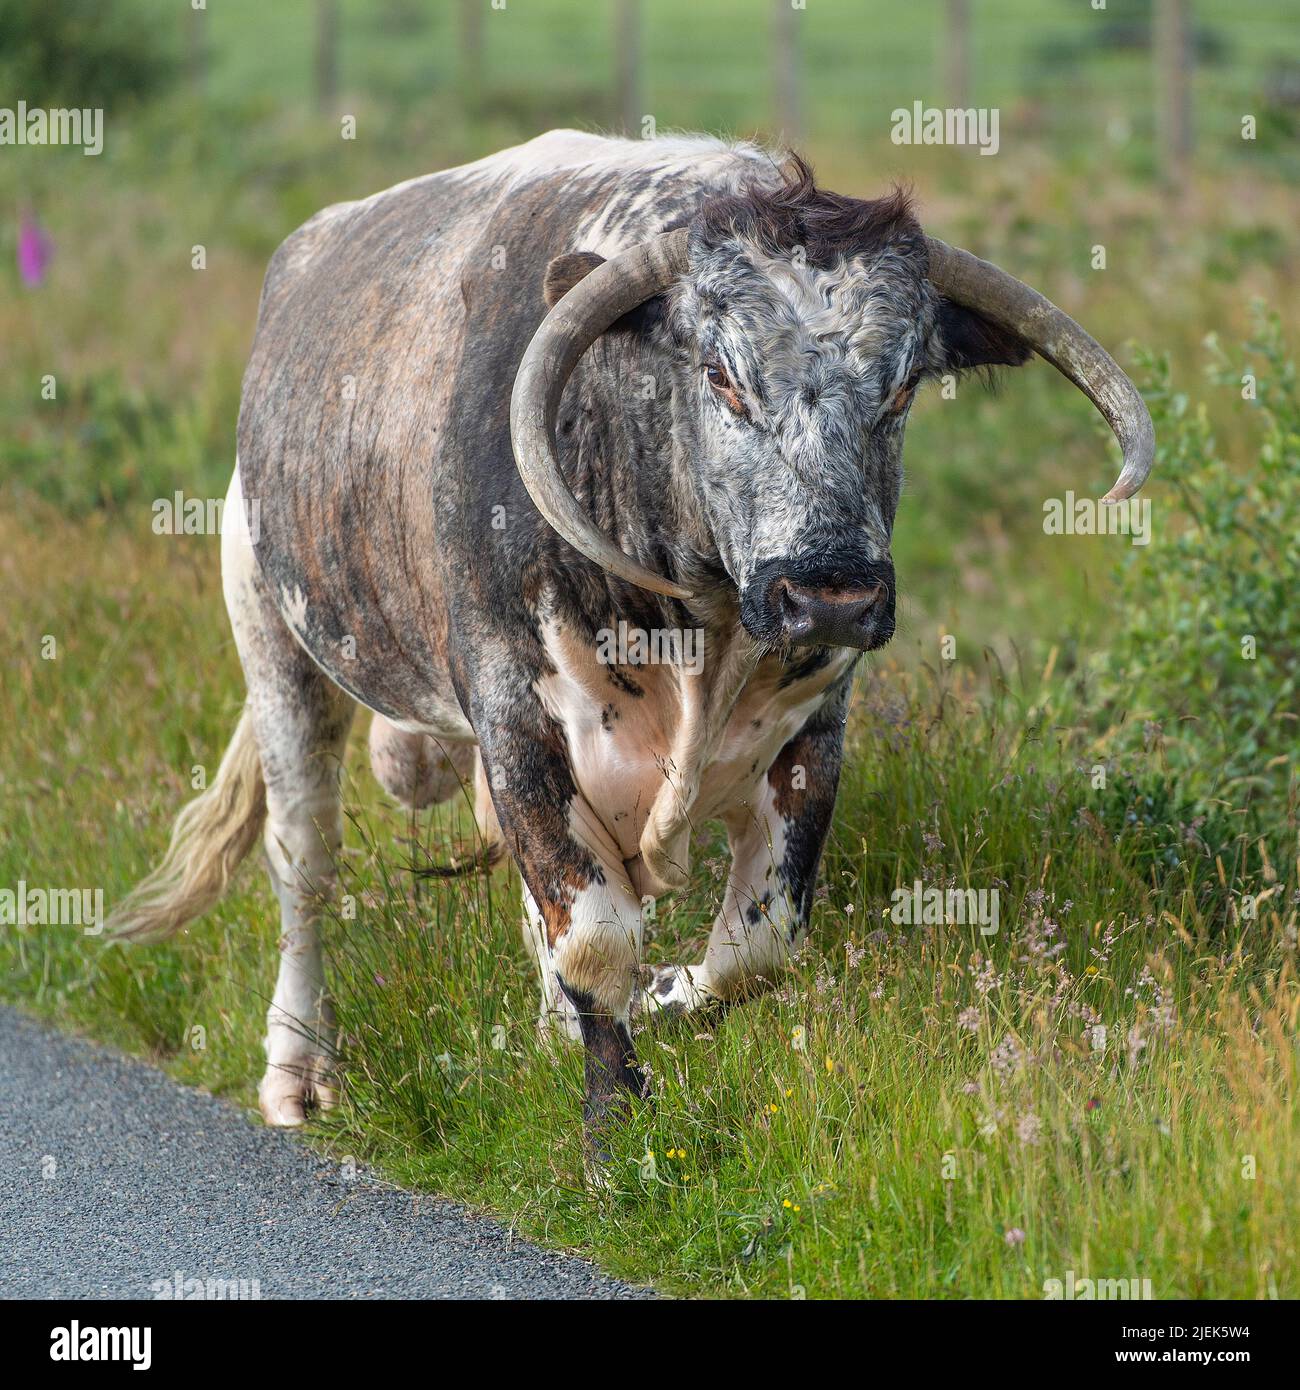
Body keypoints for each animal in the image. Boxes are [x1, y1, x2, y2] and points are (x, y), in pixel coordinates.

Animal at [107, 131, 1152, 1168]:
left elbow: (753, 950)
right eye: (722, 374)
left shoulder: (816, 735)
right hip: (277, 651)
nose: (832, 595)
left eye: (901, 385)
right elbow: (596, 940)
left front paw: (664, 997)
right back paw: (297, 1071)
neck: (699, 632)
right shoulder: (517, 725)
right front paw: (613, 1130)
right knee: (306, 867)